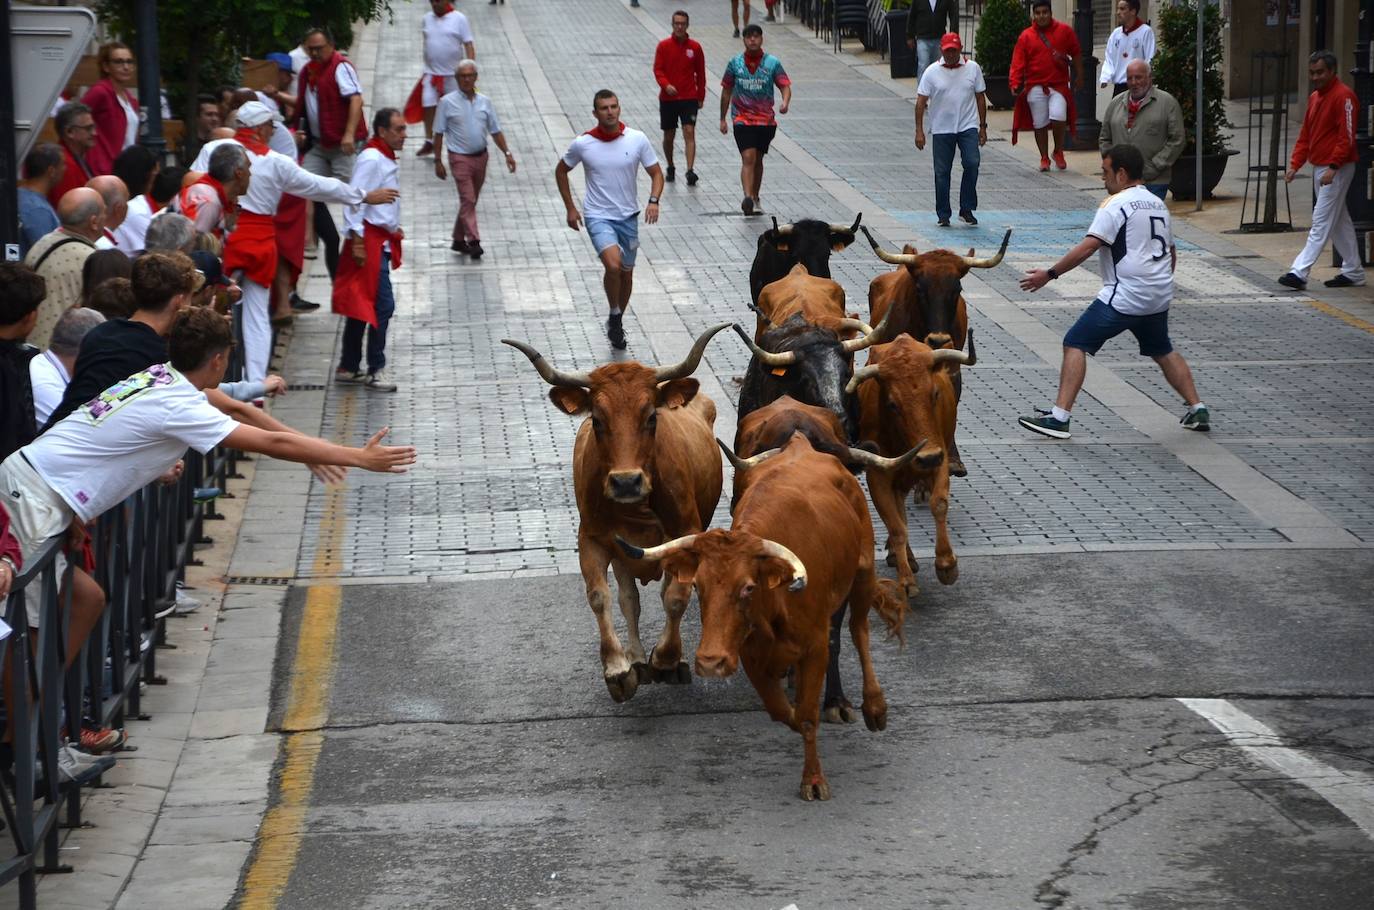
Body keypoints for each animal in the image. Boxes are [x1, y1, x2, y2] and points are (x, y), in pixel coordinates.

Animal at [503, 324, 729, 703]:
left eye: (651, 417)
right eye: (597, 420)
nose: (625, 482)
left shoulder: (686, 536)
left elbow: (675, 597)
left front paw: (666, 659)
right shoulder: (592, 539)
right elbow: (601, 597)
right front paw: (619, 669)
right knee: (629, 600)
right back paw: (636, 660)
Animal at [618, 431, 911, 801]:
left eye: (748, 587)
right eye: (697, 585)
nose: (710, 662)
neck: (777, 601)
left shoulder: (816, 646)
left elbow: (809, 714)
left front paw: (813, 779)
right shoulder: (750, 654)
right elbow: (784, 712)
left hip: (862, 572)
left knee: (860, 633)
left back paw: (874, 708)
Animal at [849, 334, 974, 601]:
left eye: (935, 394)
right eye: (892, 404)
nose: (926, 458)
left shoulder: (940, 456)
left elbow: (938, 504)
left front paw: (946, 564)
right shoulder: (879, 475)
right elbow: (896, 526)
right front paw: (906, 580)